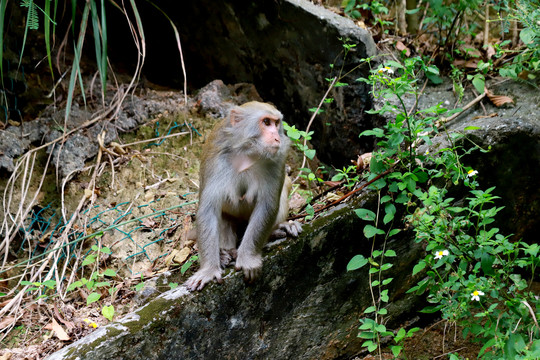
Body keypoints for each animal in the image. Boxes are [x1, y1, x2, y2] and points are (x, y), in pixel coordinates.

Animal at [186, 100, 302, 290]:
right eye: (266, 122)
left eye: (277, 123)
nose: (277, 137)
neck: (248, 152)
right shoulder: (216, 158)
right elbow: (208, 209)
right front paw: (209, 270)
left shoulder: (277, 159)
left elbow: (267, 205)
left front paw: (247, 258)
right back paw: (225, 254)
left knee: (286, 184)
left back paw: (279, 229)